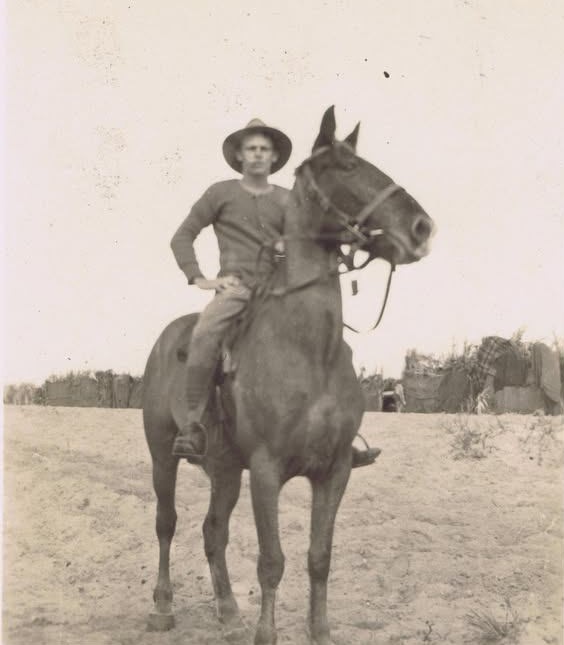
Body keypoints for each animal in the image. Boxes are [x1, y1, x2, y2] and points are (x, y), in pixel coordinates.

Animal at [143, 106, 434, 644]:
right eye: (346, 167)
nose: (422, 228)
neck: (309, 352)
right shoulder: (266, 470)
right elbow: (271, 561)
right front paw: (266, 632)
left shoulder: (334, 471)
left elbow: (319, 558)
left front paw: (319, 632)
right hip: (163, 457)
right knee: (166, 523)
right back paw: (163, 608)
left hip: (223, 470)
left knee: (213, 532)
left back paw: (228, 612)